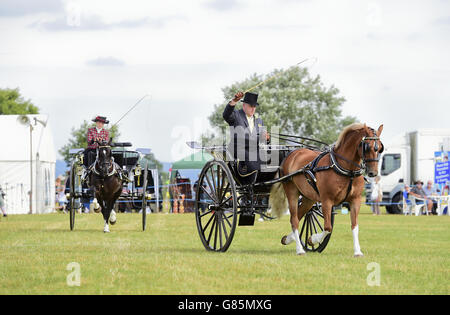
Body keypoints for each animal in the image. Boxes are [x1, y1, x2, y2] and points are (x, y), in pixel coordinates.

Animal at [268, 123, 384, 256]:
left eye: (380, 148)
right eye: (367, 146)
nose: (373, 173)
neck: (344, 168)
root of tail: (292, 153)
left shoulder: (355, 200)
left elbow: (355, 226)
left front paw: (357, 251)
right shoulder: (327, 200)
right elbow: (328, 227)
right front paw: (312, 239)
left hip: (309, 198)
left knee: (300, 215)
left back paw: (288, 239)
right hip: (292, 192)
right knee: (294, 219)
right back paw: (299, 249)